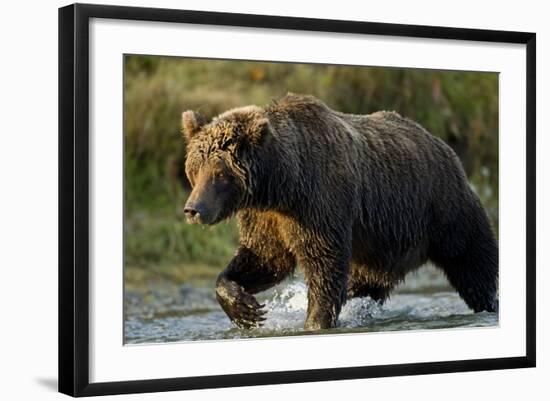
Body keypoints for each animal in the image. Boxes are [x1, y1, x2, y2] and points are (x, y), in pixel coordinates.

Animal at [182, 93, 500, 328]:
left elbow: (324, 264)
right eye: (195, 169)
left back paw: (489, 304)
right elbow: (264, 258)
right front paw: (245, 308)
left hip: (445, 210)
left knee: (474, 266)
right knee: (366, 283)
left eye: (219, 173)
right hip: (381, 247)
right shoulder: (266, 217)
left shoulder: (320, 204)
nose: (193, 209)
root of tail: (443, 145)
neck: (282, 185)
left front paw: (314, 321)